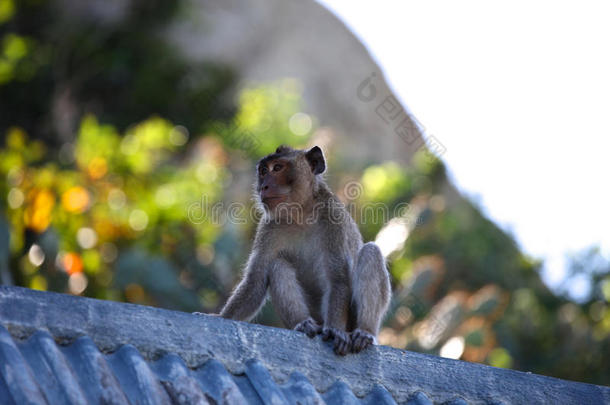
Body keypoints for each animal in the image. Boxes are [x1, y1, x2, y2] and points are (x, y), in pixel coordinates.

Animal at [214, 145, 388, 354]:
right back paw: (303, 324)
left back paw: (364, 332)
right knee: (277, 264)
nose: (263, 187)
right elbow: (255, 282)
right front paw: (220, 318)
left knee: (371, 252)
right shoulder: (269, 227)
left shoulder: (333, 218)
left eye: (277, 168)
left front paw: (335, 331)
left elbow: (337, 279)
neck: (300, 213)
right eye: (263, 171)